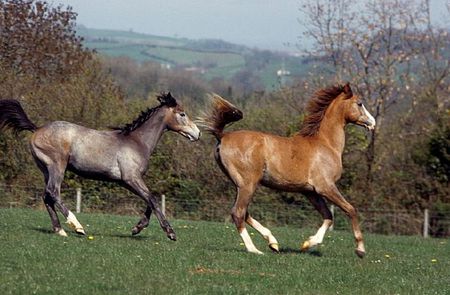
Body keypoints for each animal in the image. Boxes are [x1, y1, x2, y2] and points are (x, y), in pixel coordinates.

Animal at [0, 93, 200, 242]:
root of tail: (37, 129)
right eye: (182, 114)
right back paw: (77, 226)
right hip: (57, 166)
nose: (197, 133)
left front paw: (137, 228)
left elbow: (150, 200)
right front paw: (170, 232)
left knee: (46, 196)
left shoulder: (126, 181)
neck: (137, 142)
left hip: (45, 170)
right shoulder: (131, 178)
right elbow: (153, 199)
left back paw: (59, 230)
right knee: (53, 192)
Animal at [201, 83, 376, 256]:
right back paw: (254, 249)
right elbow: (350, 209)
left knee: (245, 213)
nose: (373, 123)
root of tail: (223, 136)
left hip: (240, 185)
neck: (325, 144)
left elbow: (328, 215)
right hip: (248, 184)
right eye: (360, 103)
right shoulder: (326, 187)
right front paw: (360, 249)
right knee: (238, 212)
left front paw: (308, 243)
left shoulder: (310, 192)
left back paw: (273, 242)